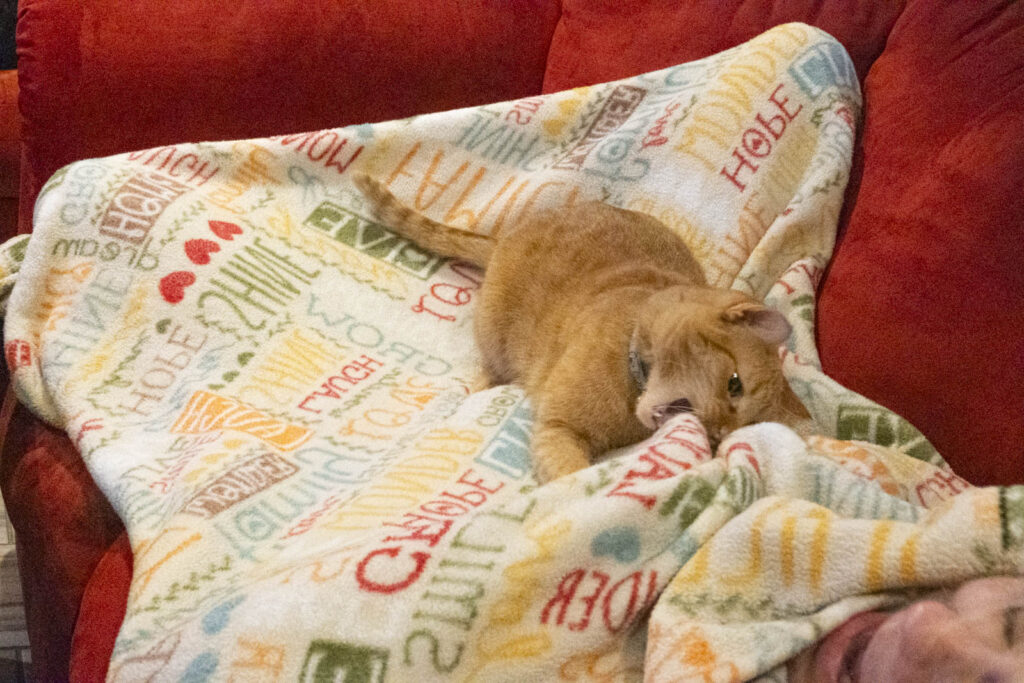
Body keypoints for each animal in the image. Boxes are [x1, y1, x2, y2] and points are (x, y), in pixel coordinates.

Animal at [356, 174, 811, 483]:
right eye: (734, 385)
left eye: (739, 433)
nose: (717, 432)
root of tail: (507, 233)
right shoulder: (558, 428)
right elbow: (570, 477)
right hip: (493, 333)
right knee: (492, 365)